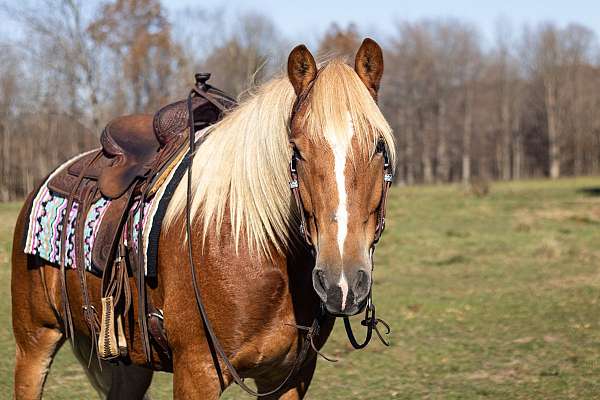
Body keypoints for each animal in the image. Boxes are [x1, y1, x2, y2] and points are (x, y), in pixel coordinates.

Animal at [11, 38, 396, 400]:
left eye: (380, 147)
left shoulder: (290, 378)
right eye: (297, 151)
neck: (247, 243)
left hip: (128, 362)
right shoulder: (197, 371)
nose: (341, 282)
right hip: (34, 339)